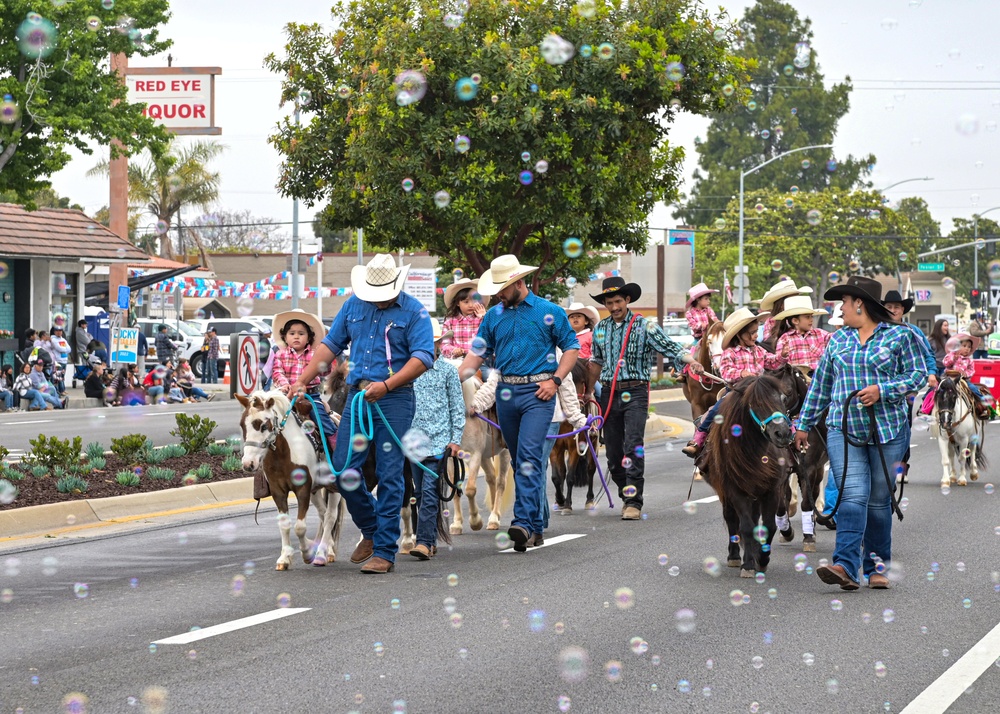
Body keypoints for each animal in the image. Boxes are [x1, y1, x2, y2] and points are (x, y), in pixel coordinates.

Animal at [236, 390, 346, 568]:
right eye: (242, 425)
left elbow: (299, 527)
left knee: (330, 516)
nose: (248, 463)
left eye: (263, 425)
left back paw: (322, 554)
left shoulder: (303, 490)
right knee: (323, 514)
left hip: (334, 488)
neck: (283, 453)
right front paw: (285, 557)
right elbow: (285, 524)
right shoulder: (278, 491)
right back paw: (327, 549)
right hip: (315, 491)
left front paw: (307, 552)